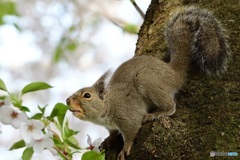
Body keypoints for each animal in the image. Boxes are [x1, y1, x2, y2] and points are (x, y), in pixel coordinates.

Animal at [66, 6, 231, 160]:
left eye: (87, 95)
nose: (67, 101)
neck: (108, 107)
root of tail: (174, 73)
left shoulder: (129, 116)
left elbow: (130, 133)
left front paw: (125, 149)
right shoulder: (110, 126)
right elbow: (112, 133)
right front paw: (108, 140)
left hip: (146, 80)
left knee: (171, 107)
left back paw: (156, 114)